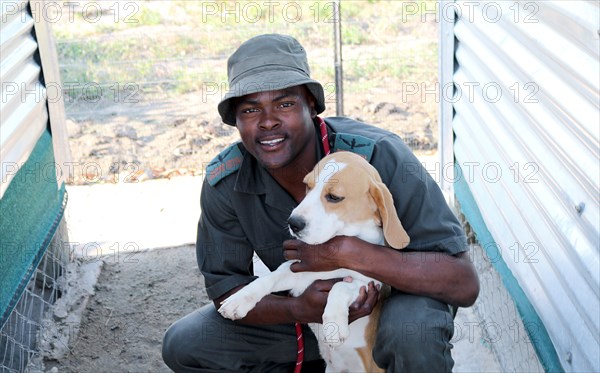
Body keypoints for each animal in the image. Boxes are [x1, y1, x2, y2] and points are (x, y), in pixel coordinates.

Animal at [218, 150, 410, 370]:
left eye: (334, 197)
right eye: (307, 186)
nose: (293, 223)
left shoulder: (369, 284)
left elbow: (340, 286)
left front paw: (334, 325)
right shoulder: (297, 271)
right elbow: (267, 279)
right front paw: (238, 300)